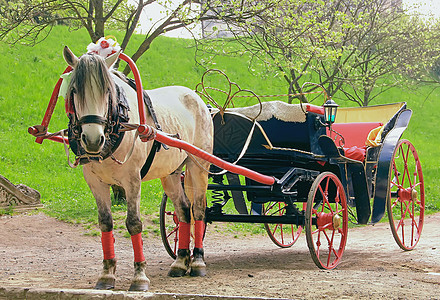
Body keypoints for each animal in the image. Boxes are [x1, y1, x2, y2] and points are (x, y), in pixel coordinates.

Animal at [62, 46, 213, 290]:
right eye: (74, 90)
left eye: (107, 91)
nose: (93, 140)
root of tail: (196, 97)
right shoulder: (95, 182)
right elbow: (105, 223)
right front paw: (106, 274)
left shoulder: (132, 180)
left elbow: (134, 224)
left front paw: (139, 276)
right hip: (170, 173)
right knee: (182, 210)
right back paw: (181, 261)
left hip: (198, 166)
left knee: (198, 209)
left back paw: (198, 260)